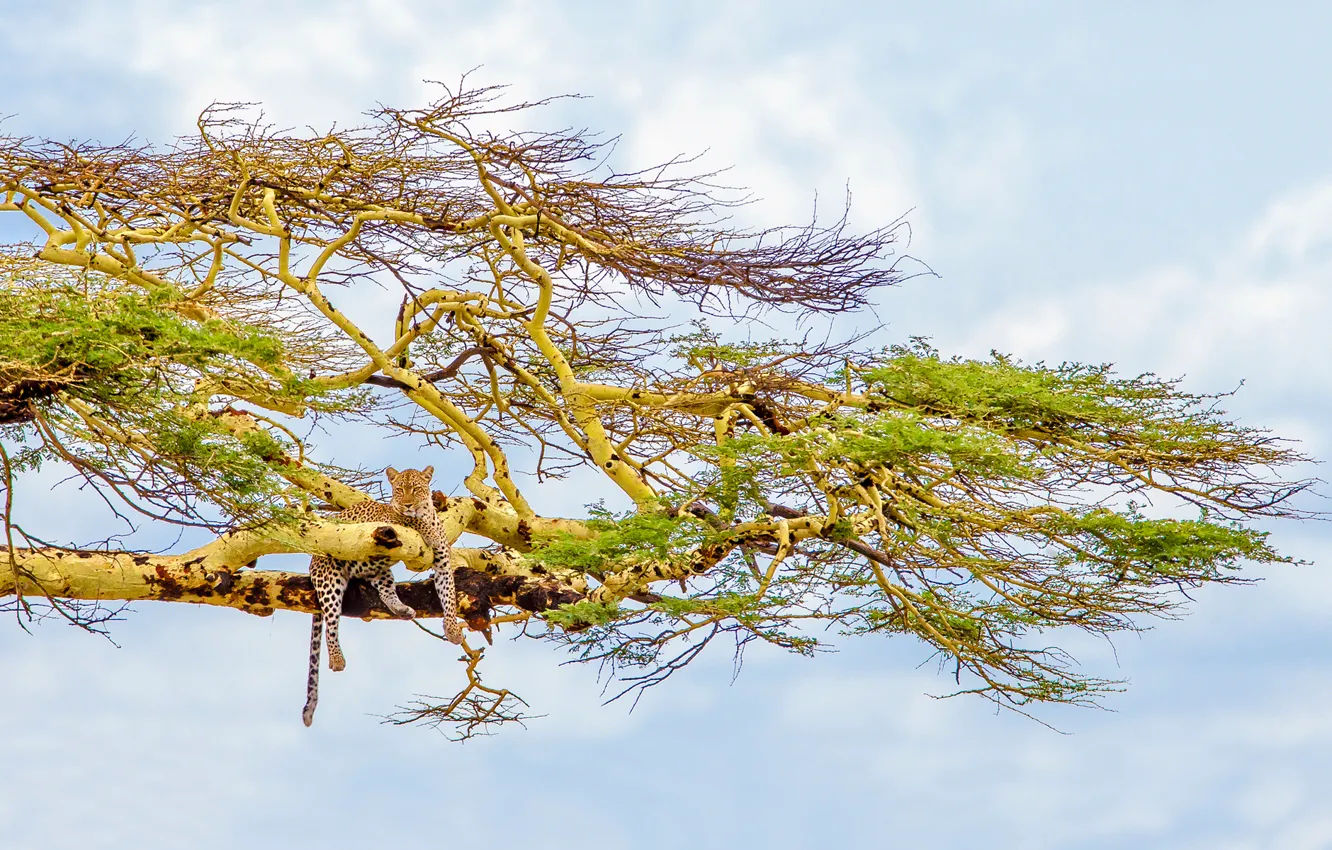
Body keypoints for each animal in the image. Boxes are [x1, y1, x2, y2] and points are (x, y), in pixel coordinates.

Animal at [302, 465, 464, 727]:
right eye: (399, 490)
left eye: (416, 489)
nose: (407, 504)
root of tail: (312, 562)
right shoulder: (388, 521)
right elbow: (407, 520)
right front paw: (421, 525)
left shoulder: (442, 562)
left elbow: (448, 593)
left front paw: (453, 629)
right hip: (330, 577)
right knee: (330, 619)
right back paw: (336, 659)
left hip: (380, 571)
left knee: (385, 590)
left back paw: (403, 610)